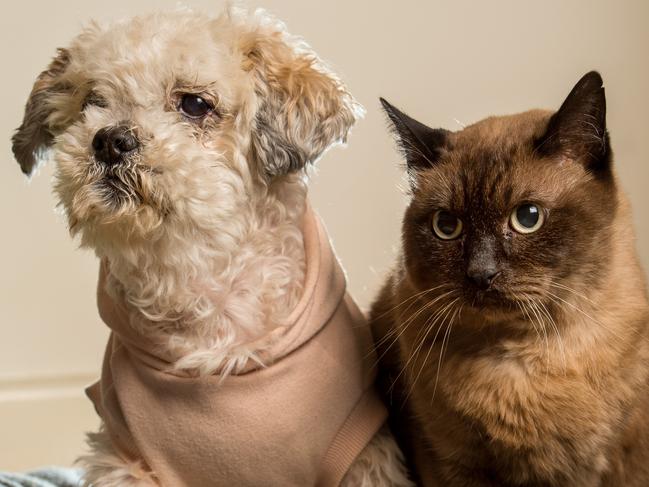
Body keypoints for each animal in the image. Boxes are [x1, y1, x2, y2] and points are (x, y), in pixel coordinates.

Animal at [370, 72, 648, 487]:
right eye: (446, 226)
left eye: (527, 218)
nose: (480, 274)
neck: (524, 357)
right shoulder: (448, 463)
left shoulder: (598, 464)